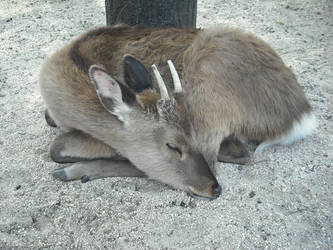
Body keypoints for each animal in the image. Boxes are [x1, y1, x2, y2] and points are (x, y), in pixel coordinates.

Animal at [40, 23, 316, 199]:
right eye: (172, 146)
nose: (214, 189)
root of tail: (301, 116)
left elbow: (58, 146)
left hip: (210, 88)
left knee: (233, 155)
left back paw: (75, 171)